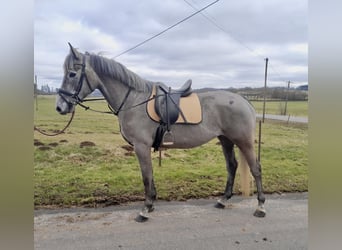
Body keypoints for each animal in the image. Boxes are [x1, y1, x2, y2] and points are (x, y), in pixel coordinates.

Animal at [56, 44, 266, 222]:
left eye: (72, 74)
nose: (60, 107)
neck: (133, 100)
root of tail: (244, 101)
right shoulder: (144, 148)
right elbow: (150, 175)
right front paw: (151, 205)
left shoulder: (141, 146)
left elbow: (146, 176)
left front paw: (145, 209)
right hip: (225, 139)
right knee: (232, 166)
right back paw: (223, 200)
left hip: (243, 140)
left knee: (255, 168)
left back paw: (261, 206)